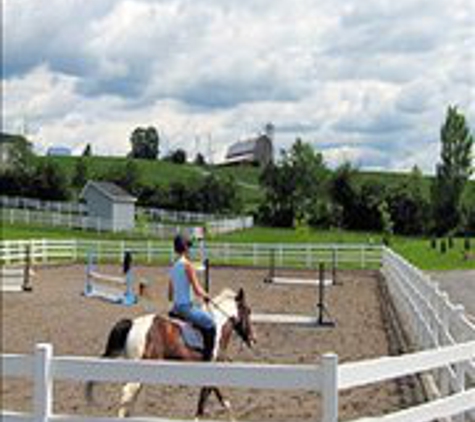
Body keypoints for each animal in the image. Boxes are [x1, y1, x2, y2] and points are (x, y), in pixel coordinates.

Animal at [85, 286, 256, 418]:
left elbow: (218, 396)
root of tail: (133, 323)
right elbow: (204, 399)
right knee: (127, 392)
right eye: (248, 311)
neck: (219, 325)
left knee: (131, 396)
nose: (253, 340)